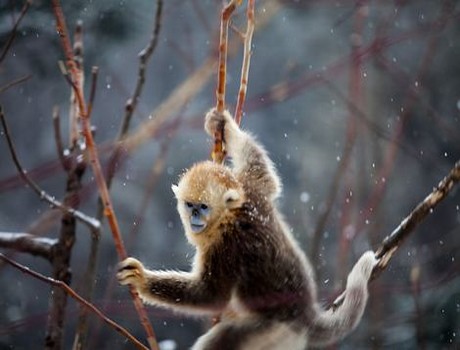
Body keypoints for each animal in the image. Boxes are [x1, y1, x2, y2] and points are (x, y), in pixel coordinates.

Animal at [117, 108, 378, 348]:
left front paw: (141, 278)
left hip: (269, 329)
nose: (194, 217)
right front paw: (223, 124)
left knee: (222, 339)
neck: (230, 214)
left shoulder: (226, 246)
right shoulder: (252, 190)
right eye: (189, 205)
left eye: (203, 207)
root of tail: (305, 314)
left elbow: (210, 295)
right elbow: (265, 174)